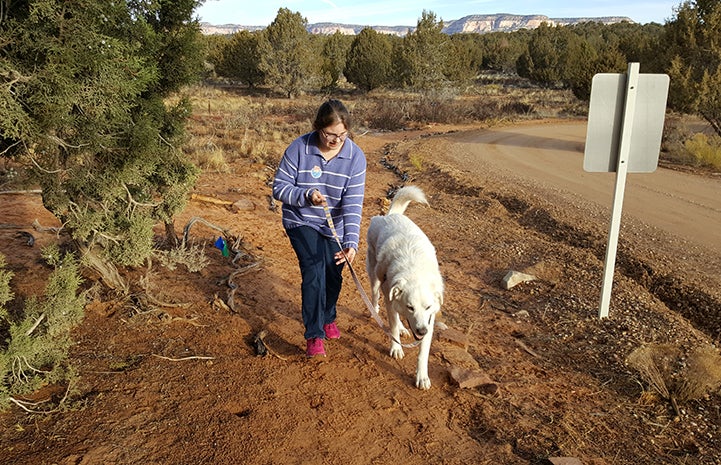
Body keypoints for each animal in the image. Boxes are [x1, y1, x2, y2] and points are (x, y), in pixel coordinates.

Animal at [368, 185, 442, 388]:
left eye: (428, 307)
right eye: (411, 307)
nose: (422, 331)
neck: (415, 269)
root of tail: (390, 215)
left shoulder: (430, 319)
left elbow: (423, 353)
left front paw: (422, 376)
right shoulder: (390, 297)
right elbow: (392, 326)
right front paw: (396, 348)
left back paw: (403, 327)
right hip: (375, 278)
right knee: (376, 297)